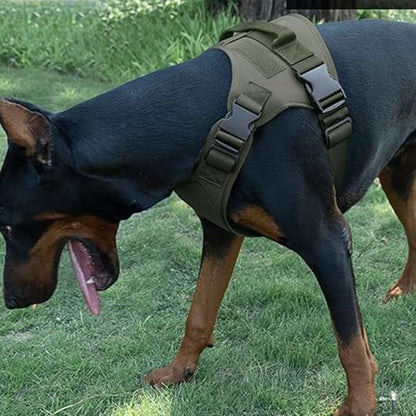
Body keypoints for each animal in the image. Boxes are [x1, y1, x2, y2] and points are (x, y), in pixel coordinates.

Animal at [0, 17, 416, 414]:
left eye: (7, 226)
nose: (13, 301)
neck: (208, 118)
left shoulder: (326, 241)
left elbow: (350, 343)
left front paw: (360, 406)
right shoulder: (220, 230)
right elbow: (199, 311)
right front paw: (178, 371)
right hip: (397, 176)